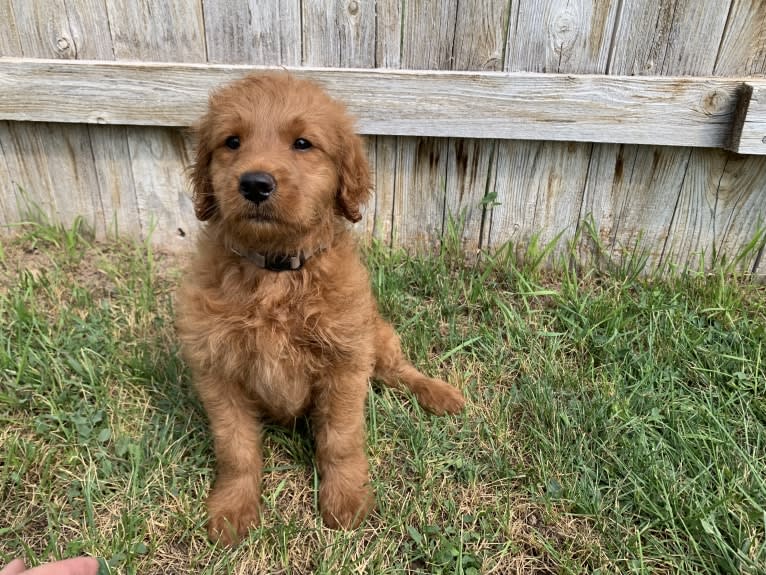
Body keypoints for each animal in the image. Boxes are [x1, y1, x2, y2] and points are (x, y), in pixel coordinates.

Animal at [177, 72, 464, 544]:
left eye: (303, 144)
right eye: (232, 142)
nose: (254, 183)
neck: (275, 274)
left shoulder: (345, 362)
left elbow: (340, 440)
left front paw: (346, 500)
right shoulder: (216, 369)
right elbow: (236, 447)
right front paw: (234, 509)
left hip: (376, 334)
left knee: (399, 371)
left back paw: (439, 394)